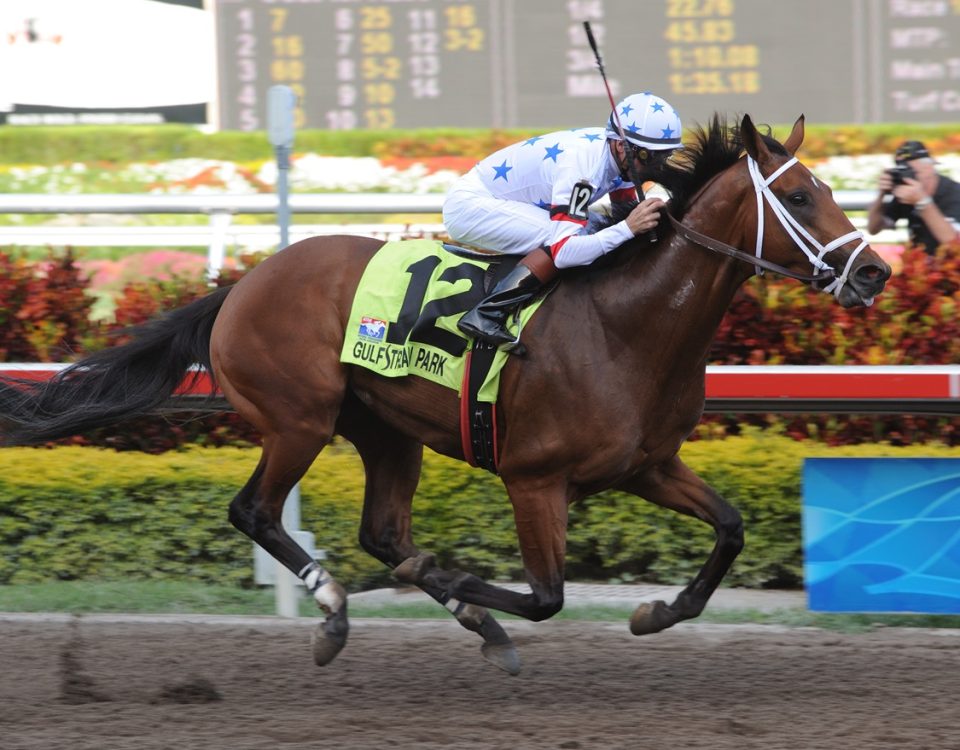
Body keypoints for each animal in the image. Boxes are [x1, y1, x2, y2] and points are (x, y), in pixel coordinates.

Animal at [0, 116, 892, 676]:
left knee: (383, 531)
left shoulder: (647, 465)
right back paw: (337, 608)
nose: (876, 272)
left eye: (826, 189)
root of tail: (243, 284)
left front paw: (651, 613)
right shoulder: (535, 479)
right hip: (298, 420)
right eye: (802, 196)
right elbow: (547, 596)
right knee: (255, 511)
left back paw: (447, 610)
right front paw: (467, 586)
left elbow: (731, 528)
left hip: (385, 429)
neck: (625, 324)